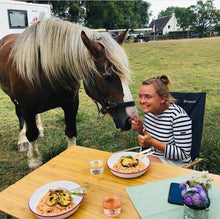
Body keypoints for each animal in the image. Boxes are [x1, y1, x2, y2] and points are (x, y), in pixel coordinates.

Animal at [0, 18, 138, 169]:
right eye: (107, 77)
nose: (130, 119)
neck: (43, 70)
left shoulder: (71, 103)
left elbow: (71, 130)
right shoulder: (27, 106)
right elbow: (31, 133)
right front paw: (34, 160)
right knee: (20, 116)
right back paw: (22, 140)